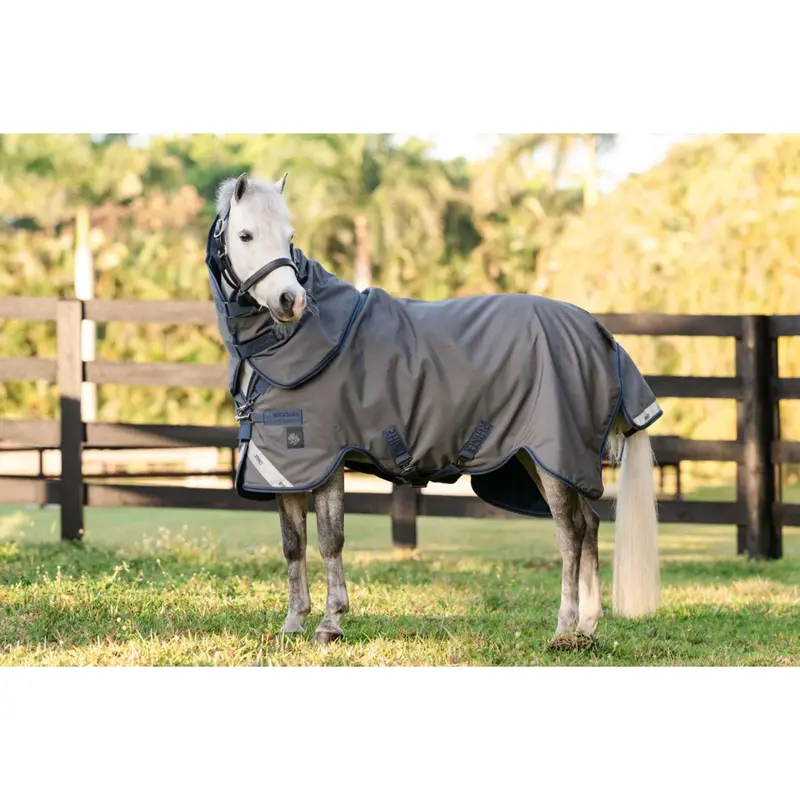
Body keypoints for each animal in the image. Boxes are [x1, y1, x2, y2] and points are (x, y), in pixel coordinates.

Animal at [208, 172, 661, 648]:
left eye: (289, 237)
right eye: (245, 235)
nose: (289, 301)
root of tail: (598, 333)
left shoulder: (324, 462)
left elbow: (331, 540)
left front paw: (330, 623)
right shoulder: (285, 468)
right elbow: (293, 544)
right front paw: (293, 623)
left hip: (554, 457)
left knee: (570, 533)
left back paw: (563, 628)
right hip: (542, 459)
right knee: (589, 525)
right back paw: (587, 627)